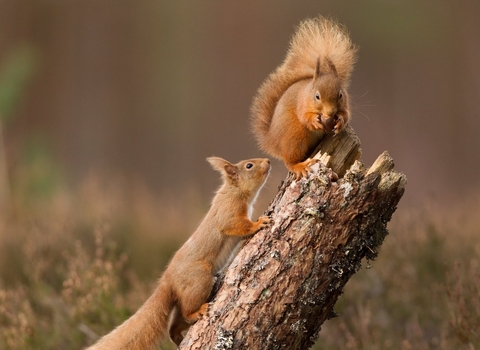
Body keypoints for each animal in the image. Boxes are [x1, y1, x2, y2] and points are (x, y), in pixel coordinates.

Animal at [87, 157, 272, 348]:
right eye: (249, 165)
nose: (268, 160)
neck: (234, 191)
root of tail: (168, 280)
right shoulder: (229, 212)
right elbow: (239, 225)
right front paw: (259, 224)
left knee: (174, 325)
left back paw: (177, 337)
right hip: (199, 280)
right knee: (186, 312)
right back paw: (197, 313)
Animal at [251, 15, 356, 179]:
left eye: (340, 95)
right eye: (317, 96)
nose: (330, 113)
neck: (308, 91)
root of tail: (274, 142)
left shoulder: (344, 105)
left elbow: (345, 114)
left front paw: (339, 122)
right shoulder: (302, 104)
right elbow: (305, 117)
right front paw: (315, 122)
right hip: (295, 136)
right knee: (290, 161)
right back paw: (299, 166)